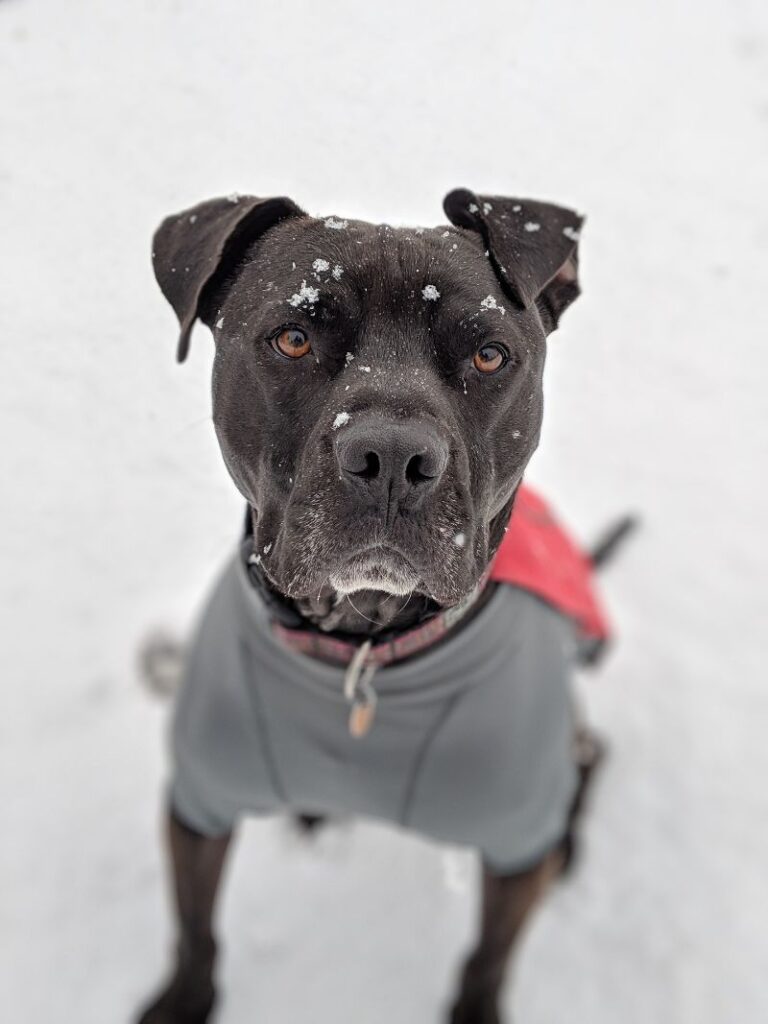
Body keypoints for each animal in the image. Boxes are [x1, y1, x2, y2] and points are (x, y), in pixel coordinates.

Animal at [137, 188, 606, 1019]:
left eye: (489, 355)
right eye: (293, 339)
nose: (391, 457)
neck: (362, 653)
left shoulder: (516, 850)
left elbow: (489, 960)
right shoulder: (197, 799)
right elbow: (195, 931)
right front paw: (180, 1002)